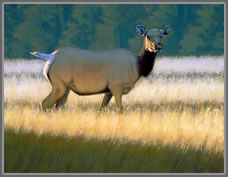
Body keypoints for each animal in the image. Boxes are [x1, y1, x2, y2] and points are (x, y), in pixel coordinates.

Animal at [31, 24, 172, 112]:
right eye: (148, 35)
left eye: (161, 35)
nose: (158, 46)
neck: (138, 67)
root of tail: (51, 57)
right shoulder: (116, 86)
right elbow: (120, 110)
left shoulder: (108, 91)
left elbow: (101, 109)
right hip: (59, 84)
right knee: (44, 104)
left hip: (65, 88)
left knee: (56, 107)